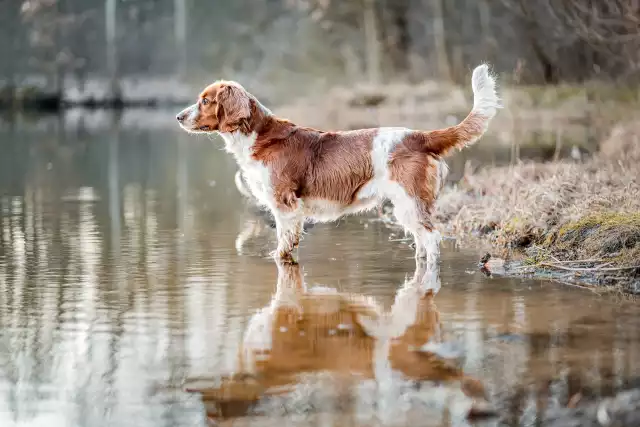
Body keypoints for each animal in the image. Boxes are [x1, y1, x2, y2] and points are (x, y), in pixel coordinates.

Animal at [178, 63, 502, 264]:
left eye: (205, 101)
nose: (179, 117)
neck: (258, 135)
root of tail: (419, 136)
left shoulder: (285, 205)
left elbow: (284, 246)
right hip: (408, 207)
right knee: (423, 243)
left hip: (410, 202)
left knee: (433, 241)